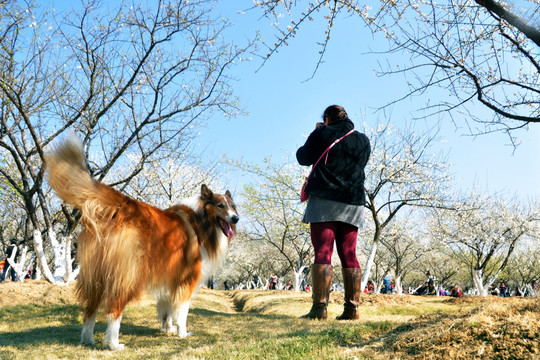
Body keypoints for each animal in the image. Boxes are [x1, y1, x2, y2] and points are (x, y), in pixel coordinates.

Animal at [45, 136, 239, 350]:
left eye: (233, 206)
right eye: (221, 206)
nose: (236, 218)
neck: (201, 220)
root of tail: (123, 204)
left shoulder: (169, 276)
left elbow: (166, 308)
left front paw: (168, 329)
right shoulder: (186, 279)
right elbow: (182, 311)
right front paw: (182, 333)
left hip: (97, 275)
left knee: (90, 309)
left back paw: (89, 339)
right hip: (128, 275)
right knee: (114, 309)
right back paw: (114, 344)